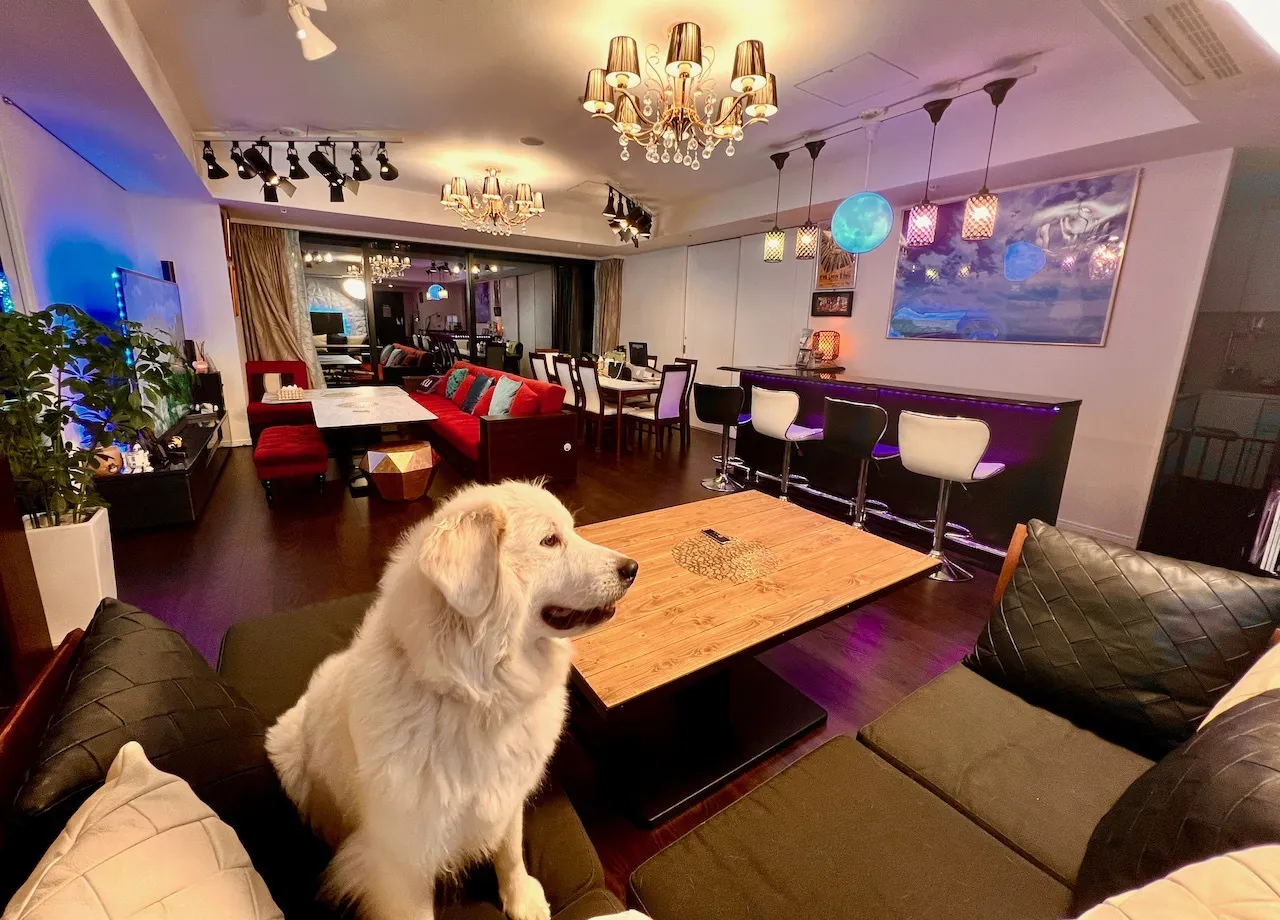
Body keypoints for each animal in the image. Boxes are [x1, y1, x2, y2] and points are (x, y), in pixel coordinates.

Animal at [266, 481, 638, 920]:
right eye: (550, 540)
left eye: (571, 531)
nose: (632, 568)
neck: (477, 696)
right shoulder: (402, 861)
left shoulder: (508, 794)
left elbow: (510, 851)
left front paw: (521, 898)